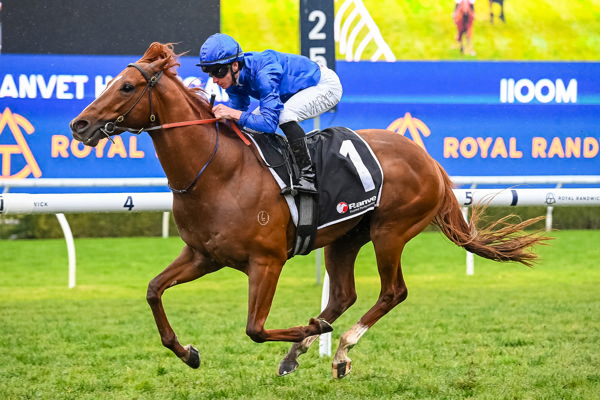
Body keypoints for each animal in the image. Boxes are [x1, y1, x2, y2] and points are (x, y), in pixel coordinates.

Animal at [68, 43, 548, 378]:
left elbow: (254, 328)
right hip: (345, 236)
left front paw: (310, 331)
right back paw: (304, 350)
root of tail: (427, 159)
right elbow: (153, 290)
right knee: (343, 295)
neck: (217, 171)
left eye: (126, 86)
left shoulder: (266, 261)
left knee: (392, 292)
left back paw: (339, 347)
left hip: (390, 230)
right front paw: (188, 353)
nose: (80, 124)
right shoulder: (203, 255)